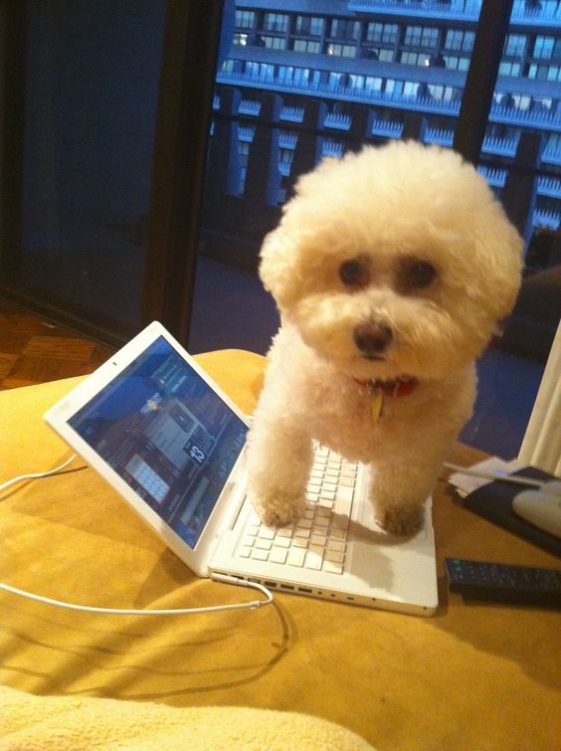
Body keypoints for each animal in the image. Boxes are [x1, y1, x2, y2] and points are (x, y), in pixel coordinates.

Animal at [244, 141, 520, 536]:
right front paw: (277, 504)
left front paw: (398, 516)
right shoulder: (286, 419)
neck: (374, 387)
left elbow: (403, 482)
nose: (371, 335)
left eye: (421, 272)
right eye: (349, 270)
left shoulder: (422, 450)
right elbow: (281, 462)